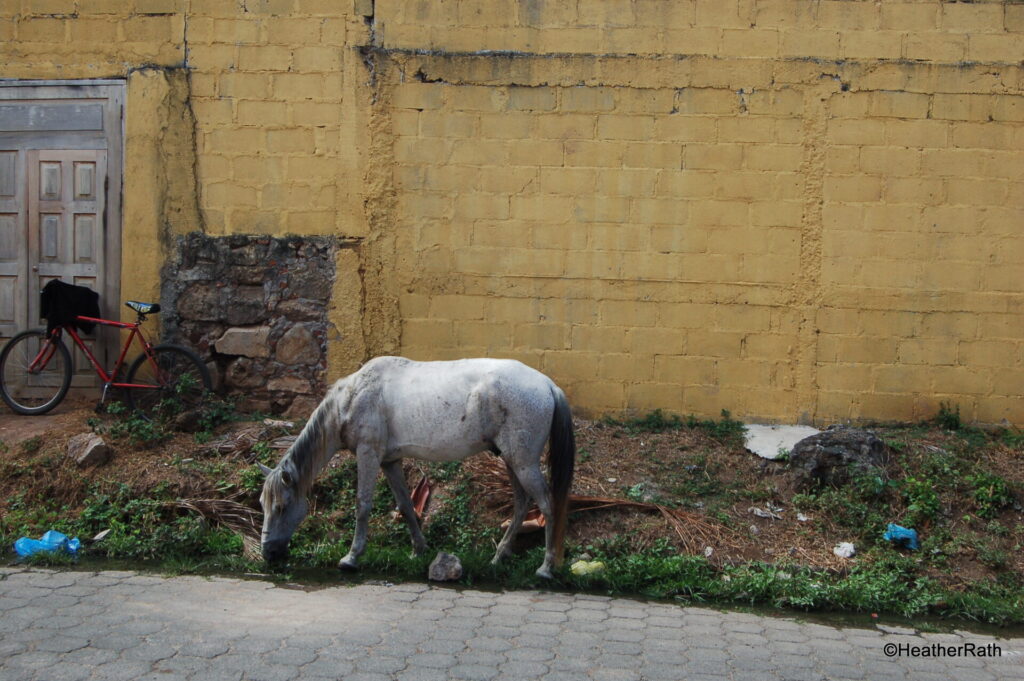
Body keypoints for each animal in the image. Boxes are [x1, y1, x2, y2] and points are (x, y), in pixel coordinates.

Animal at [256, 356, 577, 577]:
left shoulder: (368, 454)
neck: (352, 397)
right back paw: (499, 557)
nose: (268, 553)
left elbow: (363, 504)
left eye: (282, 507)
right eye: (262, 504)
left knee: (547, 505)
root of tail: (547, 385)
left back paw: (546, 567)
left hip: (523, 463)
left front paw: (351, 557)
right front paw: (419, 550)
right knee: (522, 504)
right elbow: (406, 505)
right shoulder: (390, 461)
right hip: (512, 461)